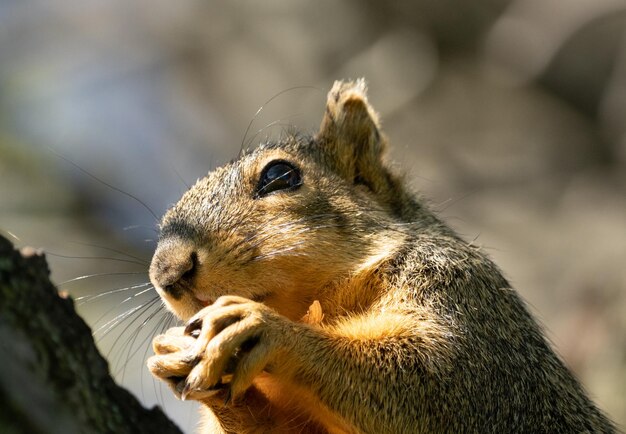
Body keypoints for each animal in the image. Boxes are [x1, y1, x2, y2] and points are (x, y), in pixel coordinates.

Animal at [146, 79, 616, 432]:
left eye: (280, 175)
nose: (168, 272)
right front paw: (178, 358)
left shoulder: (470, 310)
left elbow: (432, 377)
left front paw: (264, 329)